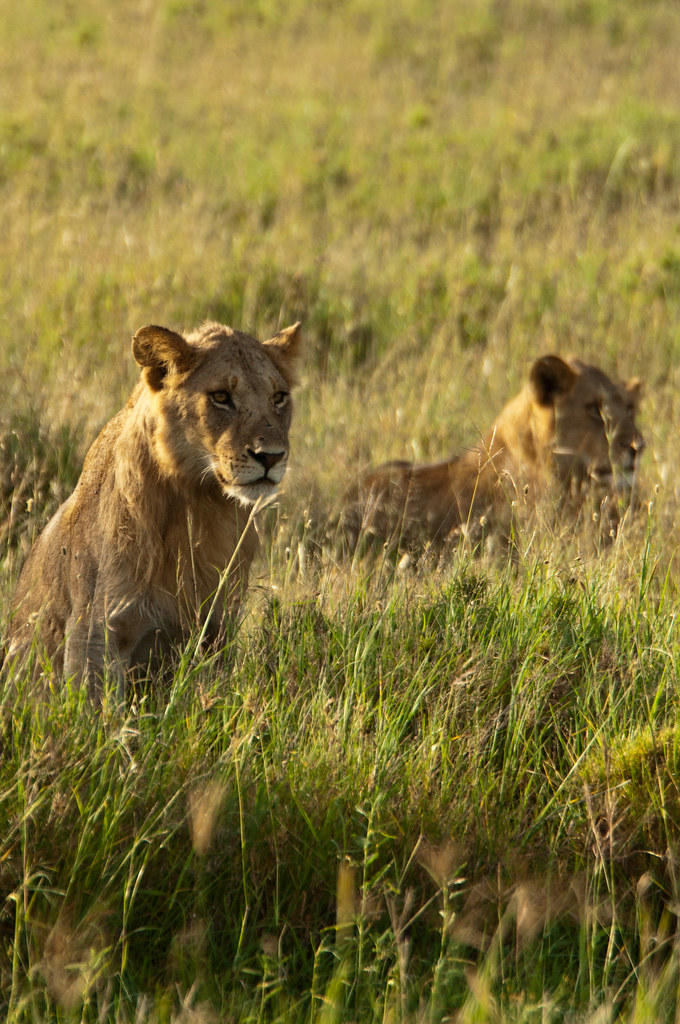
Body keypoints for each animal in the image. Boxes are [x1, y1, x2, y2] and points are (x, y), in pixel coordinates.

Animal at [6, 318, 302, 695]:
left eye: (279, 397)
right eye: (221, 397)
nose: (272, 457)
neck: (198, 503)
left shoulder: (216, 630)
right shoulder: (94, 633)